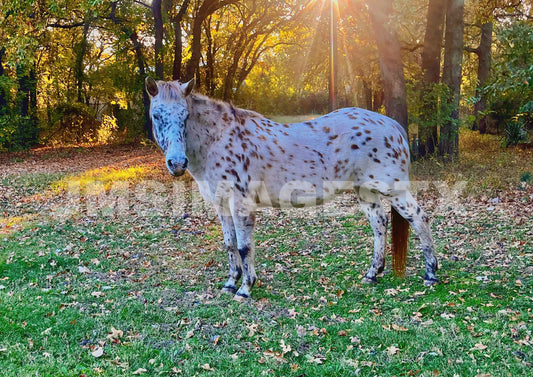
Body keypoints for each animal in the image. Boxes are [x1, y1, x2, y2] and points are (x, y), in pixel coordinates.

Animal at [144, 78, 436, 302]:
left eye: (185, 116)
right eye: (156, 116)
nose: (177, 163)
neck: (219, 140)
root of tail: (392, 125)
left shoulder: (241, 203)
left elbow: (244, 247)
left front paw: (245, 289)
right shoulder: (221, 203)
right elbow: (229, 244)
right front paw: (229, 284)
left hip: (394, 190)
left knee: (419, 219)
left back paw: (431, 275)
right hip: (366, 191)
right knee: (380, 224)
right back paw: (372, 274)